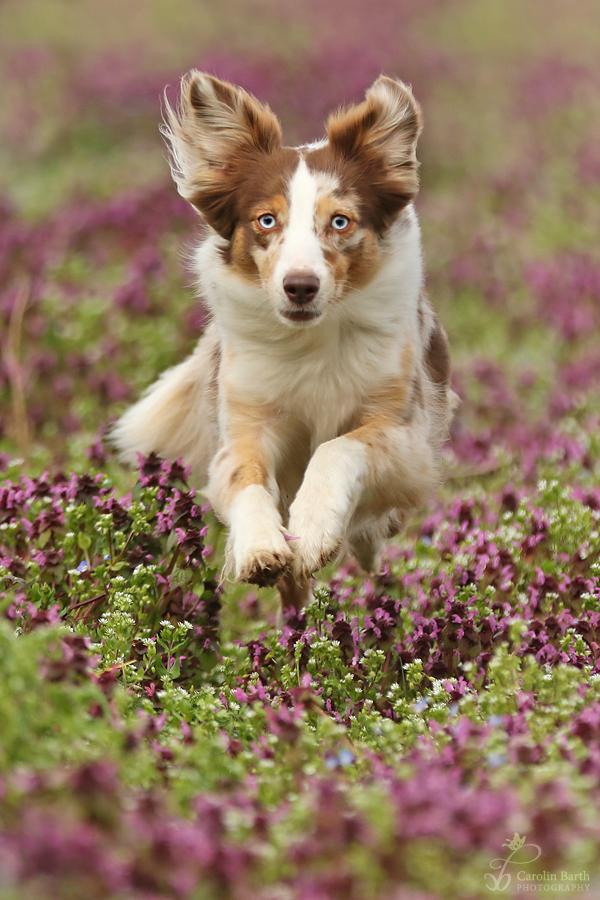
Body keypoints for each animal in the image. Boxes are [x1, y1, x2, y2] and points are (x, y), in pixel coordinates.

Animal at [112, 68, 458, 604]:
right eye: (267, 220)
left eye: (340, 221)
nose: (300, 286)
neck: (311, 340)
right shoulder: (246, 422)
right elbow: (247, 478)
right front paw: (259, 546)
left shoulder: (403, 431)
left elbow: (338, 448)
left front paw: (314, 529)